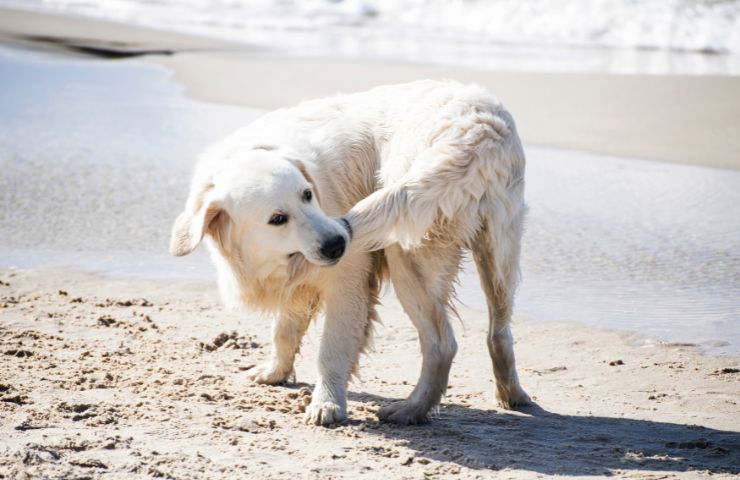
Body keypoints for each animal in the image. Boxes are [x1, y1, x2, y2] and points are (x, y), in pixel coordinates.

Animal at [171, 80, 528, 426]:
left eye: (307, 194)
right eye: (277, 219)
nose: (337, 244)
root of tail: (478, 129)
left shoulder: (348, 281)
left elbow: (331, 349)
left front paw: (327, 403)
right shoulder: (297, 283)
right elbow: (283, 331)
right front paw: (275, 372)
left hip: (407, 253)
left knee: (442, 344)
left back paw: (410, 410)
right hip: (498, 254)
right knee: (499, 332)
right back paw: (512, 395)